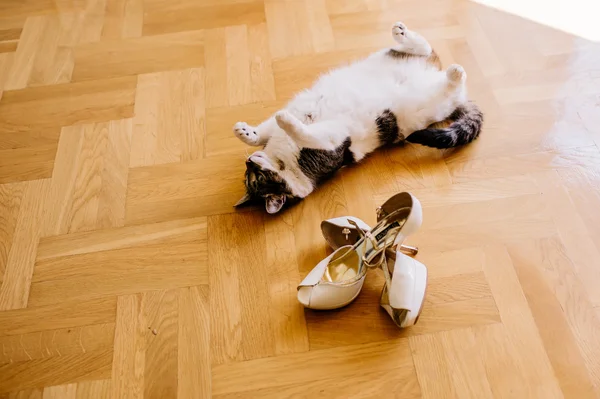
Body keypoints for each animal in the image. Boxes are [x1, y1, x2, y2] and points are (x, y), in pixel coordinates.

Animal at [233, 21, 482, 216]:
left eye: (253, 177)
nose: (248, 161)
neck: (282, 158)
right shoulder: (331, 142)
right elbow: (303, 131)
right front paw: (278, 124)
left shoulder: (326, 141)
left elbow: (269, 130)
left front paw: (248, 131)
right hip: (433, 102)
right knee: (448, 84)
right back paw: (454, 73)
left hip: (390, 57)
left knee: (424, 49)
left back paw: (403, 34)